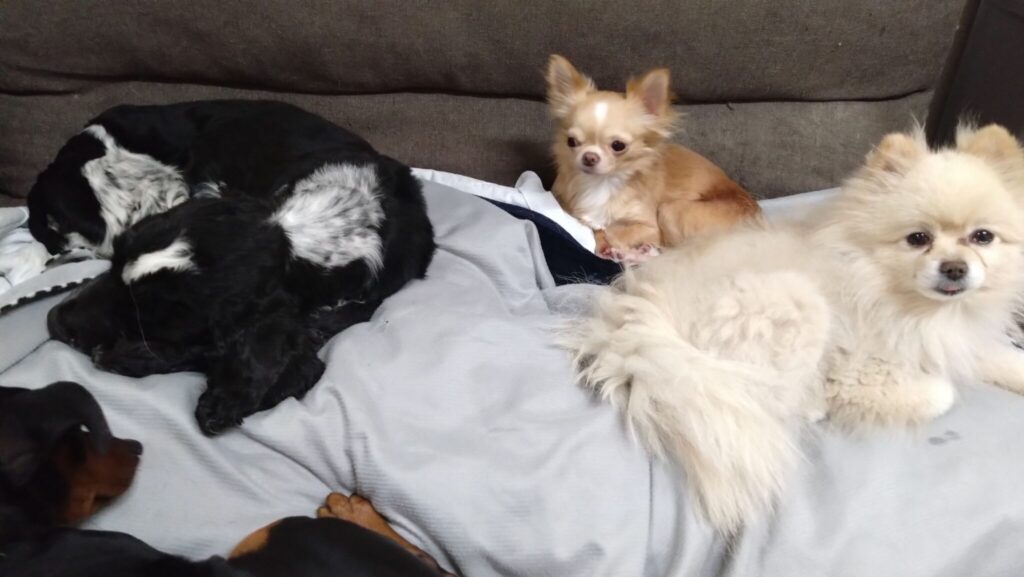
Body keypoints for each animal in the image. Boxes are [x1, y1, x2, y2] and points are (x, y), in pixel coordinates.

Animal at [545, 55, 759, 264]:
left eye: (618, 145)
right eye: (571, 141)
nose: (589, 157)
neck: (602, 183)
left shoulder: (651, 228)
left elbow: (614, 231)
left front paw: (610, 242)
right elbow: (595, 226)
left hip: (670, 210)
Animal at [561, 124, 1024, 534]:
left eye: (983, 237)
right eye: (918, 239)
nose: (955, 268)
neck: (922, 309)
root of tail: (638, 321)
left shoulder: (965, 339)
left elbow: (1000, 357)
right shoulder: (857, 365)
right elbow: (941, 393)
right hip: (793, 304)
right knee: (765, 391)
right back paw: (812, 403)